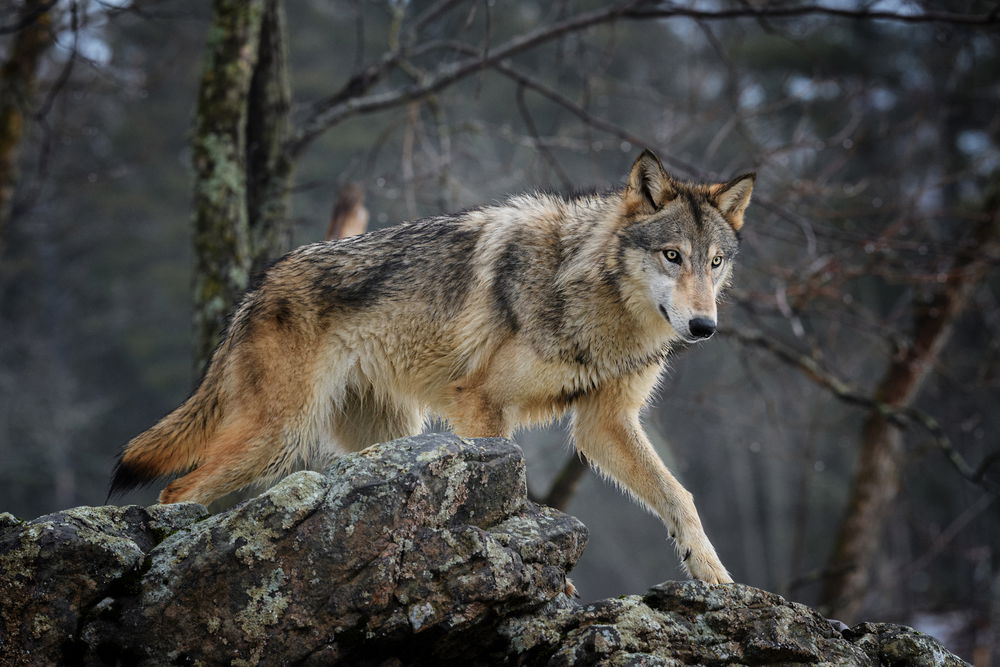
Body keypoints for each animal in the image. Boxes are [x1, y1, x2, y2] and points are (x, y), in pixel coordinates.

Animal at [111, 151, 752, 584]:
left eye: (714, 262)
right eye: (672, 256)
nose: (704, 326)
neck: (590, 295)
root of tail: (258, 288)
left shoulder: (604, 423)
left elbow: (678, 497)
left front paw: (713, 576)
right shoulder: (481, 404)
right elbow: (513, 491)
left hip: (390, 441)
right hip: (278, 437)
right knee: (176, 490)